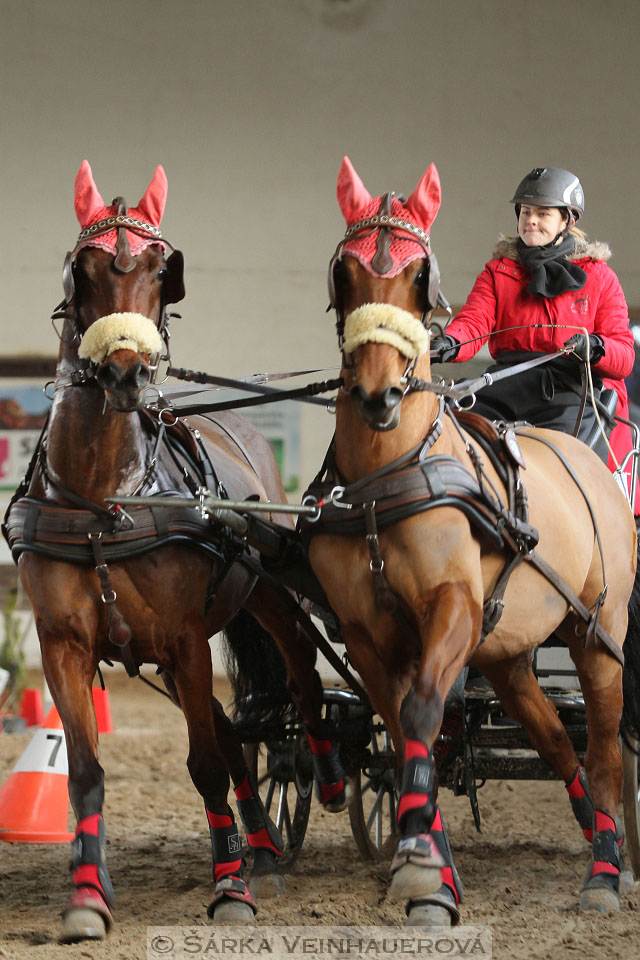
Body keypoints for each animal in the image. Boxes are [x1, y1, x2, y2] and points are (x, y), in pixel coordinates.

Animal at [2, 163, 348, 936]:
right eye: (84, 269)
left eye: (163, 270)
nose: (127, 374)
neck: (106, 499)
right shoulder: (66, 644)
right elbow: (87, 773)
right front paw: (88, 895)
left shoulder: (187, 638)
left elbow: (205, 765)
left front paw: (229, 889)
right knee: (228, 727)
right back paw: (258, 842)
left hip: (264, 593)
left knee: (302, 679)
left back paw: (328, 775)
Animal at [302, 156, 640, 924]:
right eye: (346, 272)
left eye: (419, 274)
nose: (378, 396)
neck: (386, 476)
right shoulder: (367, 634)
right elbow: (404, 732)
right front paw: (428, 864)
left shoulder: (451, 607)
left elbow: (425, 708)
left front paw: (422, 869)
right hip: (509, 652)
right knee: (558, 741)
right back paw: (594, 829)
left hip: (598, 634)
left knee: (605, 747)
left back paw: (608, 870)